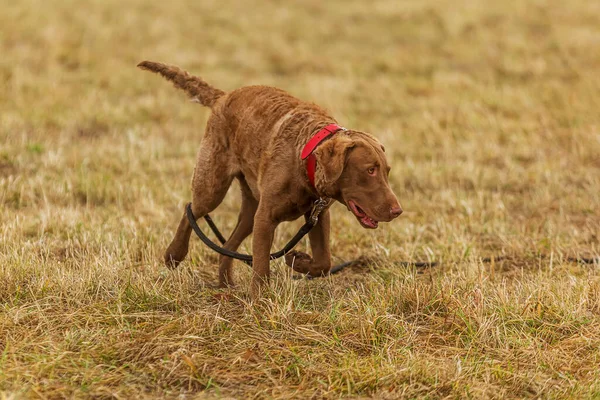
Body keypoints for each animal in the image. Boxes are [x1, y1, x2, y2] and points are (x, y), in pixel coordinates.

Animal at [139, 61, 404, 296]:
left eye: (387, 171)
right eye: (370, 170)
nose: (398, 211)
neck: (304, 156)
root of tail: (223, 97)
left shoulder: (318, 214)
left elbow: (324, 262)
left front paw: (297, 260)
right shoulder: (266, 218)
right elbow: (261, 268)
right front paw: (259, 302)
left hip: (251, 206)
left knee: (228, 244)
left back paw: (227, 285)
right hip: (213, 185)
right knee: (192, 210)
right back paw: (174, 255)